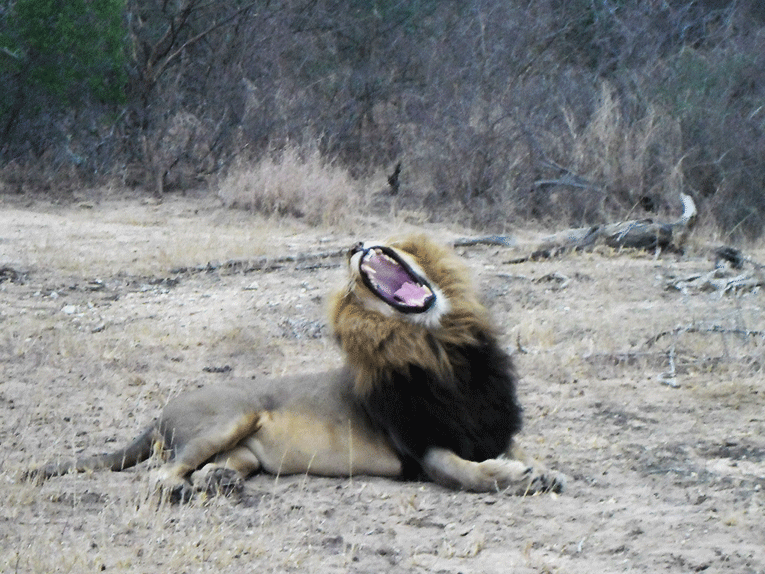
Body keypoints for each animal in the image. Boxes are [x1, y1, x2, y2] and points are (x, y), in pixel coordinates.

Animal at [30, 235, 565, 497]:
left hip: (244, 452)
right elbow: (468, 474)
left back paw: (220, 483)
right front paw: (521, 478)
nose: (354, 244)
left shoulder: (489, 425)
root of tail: (160, 412)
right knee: (160, 477)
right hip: (231, 416)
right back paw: (185, 490)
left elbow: (509, 451)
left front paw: (539, 470)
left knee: (210, 469)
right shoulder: (421, 449)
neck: (440, 349)